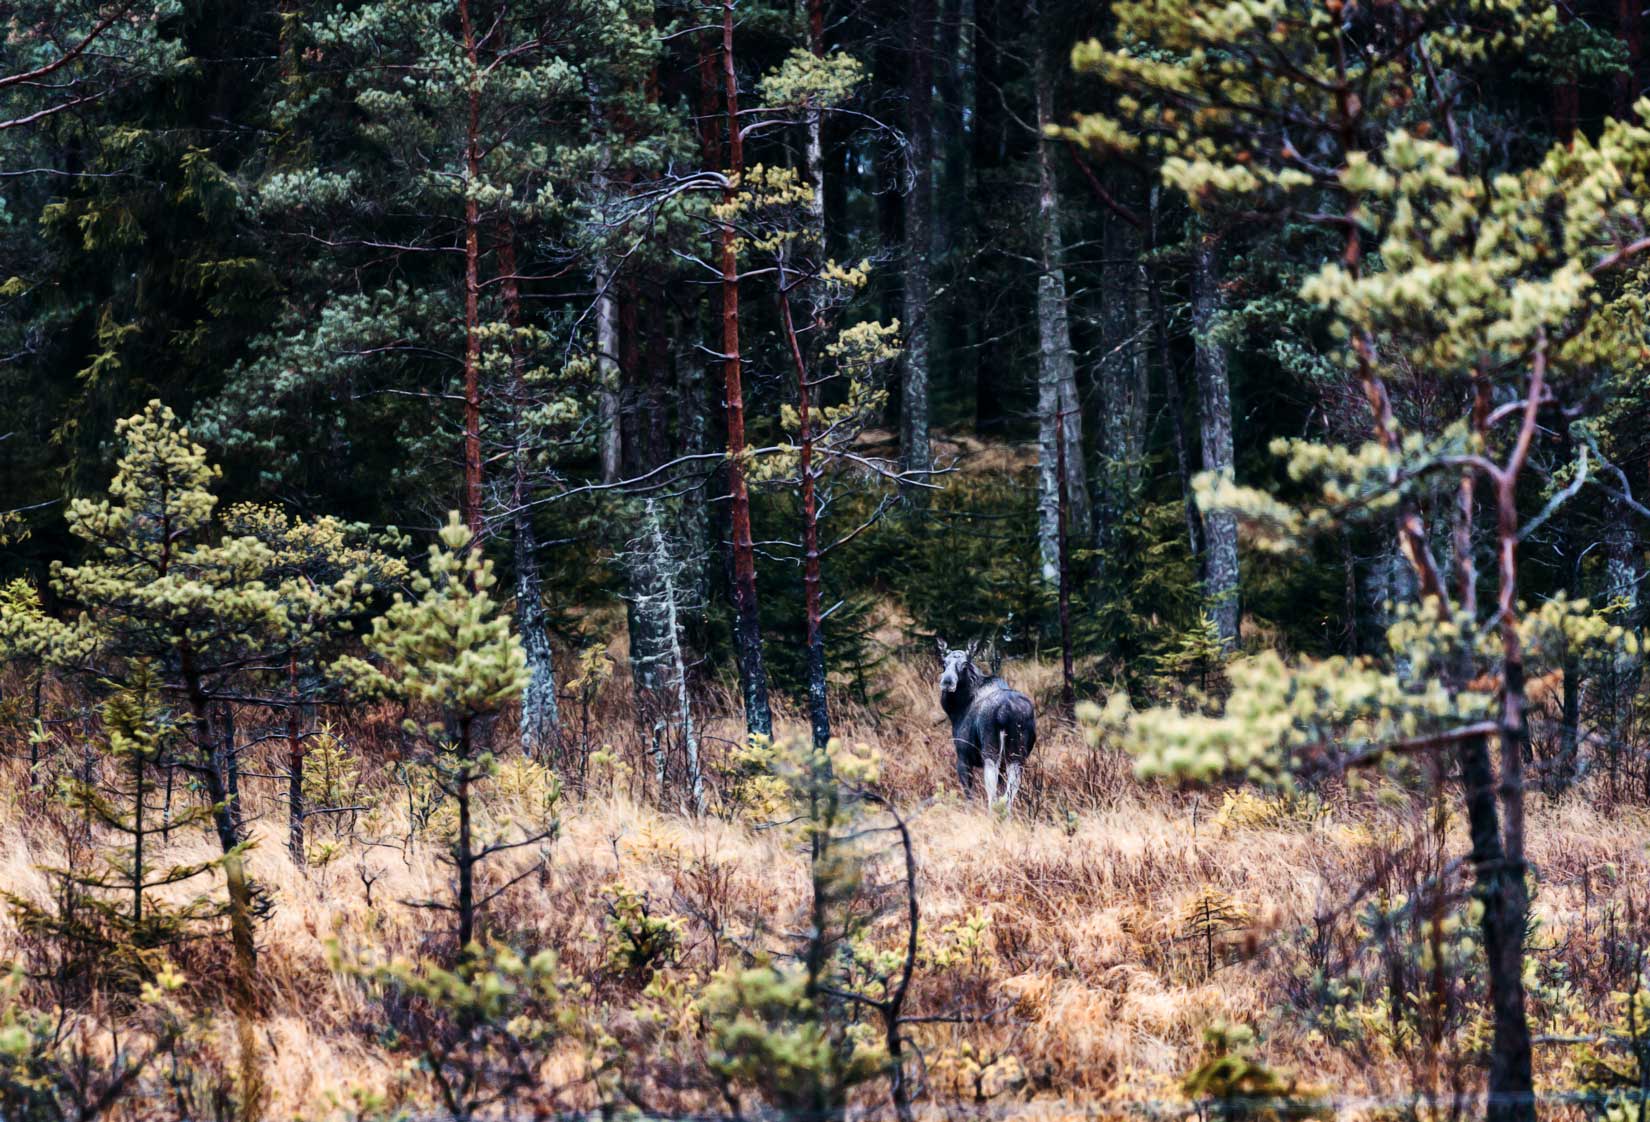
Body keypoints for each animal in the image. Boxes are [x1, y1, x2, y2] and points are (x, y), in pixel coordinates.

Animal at [943, 636, 1029, 811]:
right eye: (944, 662)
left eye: (964, 664)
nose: (947, 682)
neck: (956, 711)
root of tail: (1006, 711)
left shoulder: (962, 757)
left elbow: (969, 795)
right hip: (1016, 755)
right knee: (1010, 790)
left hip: (991, 752)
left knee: (992, 792)